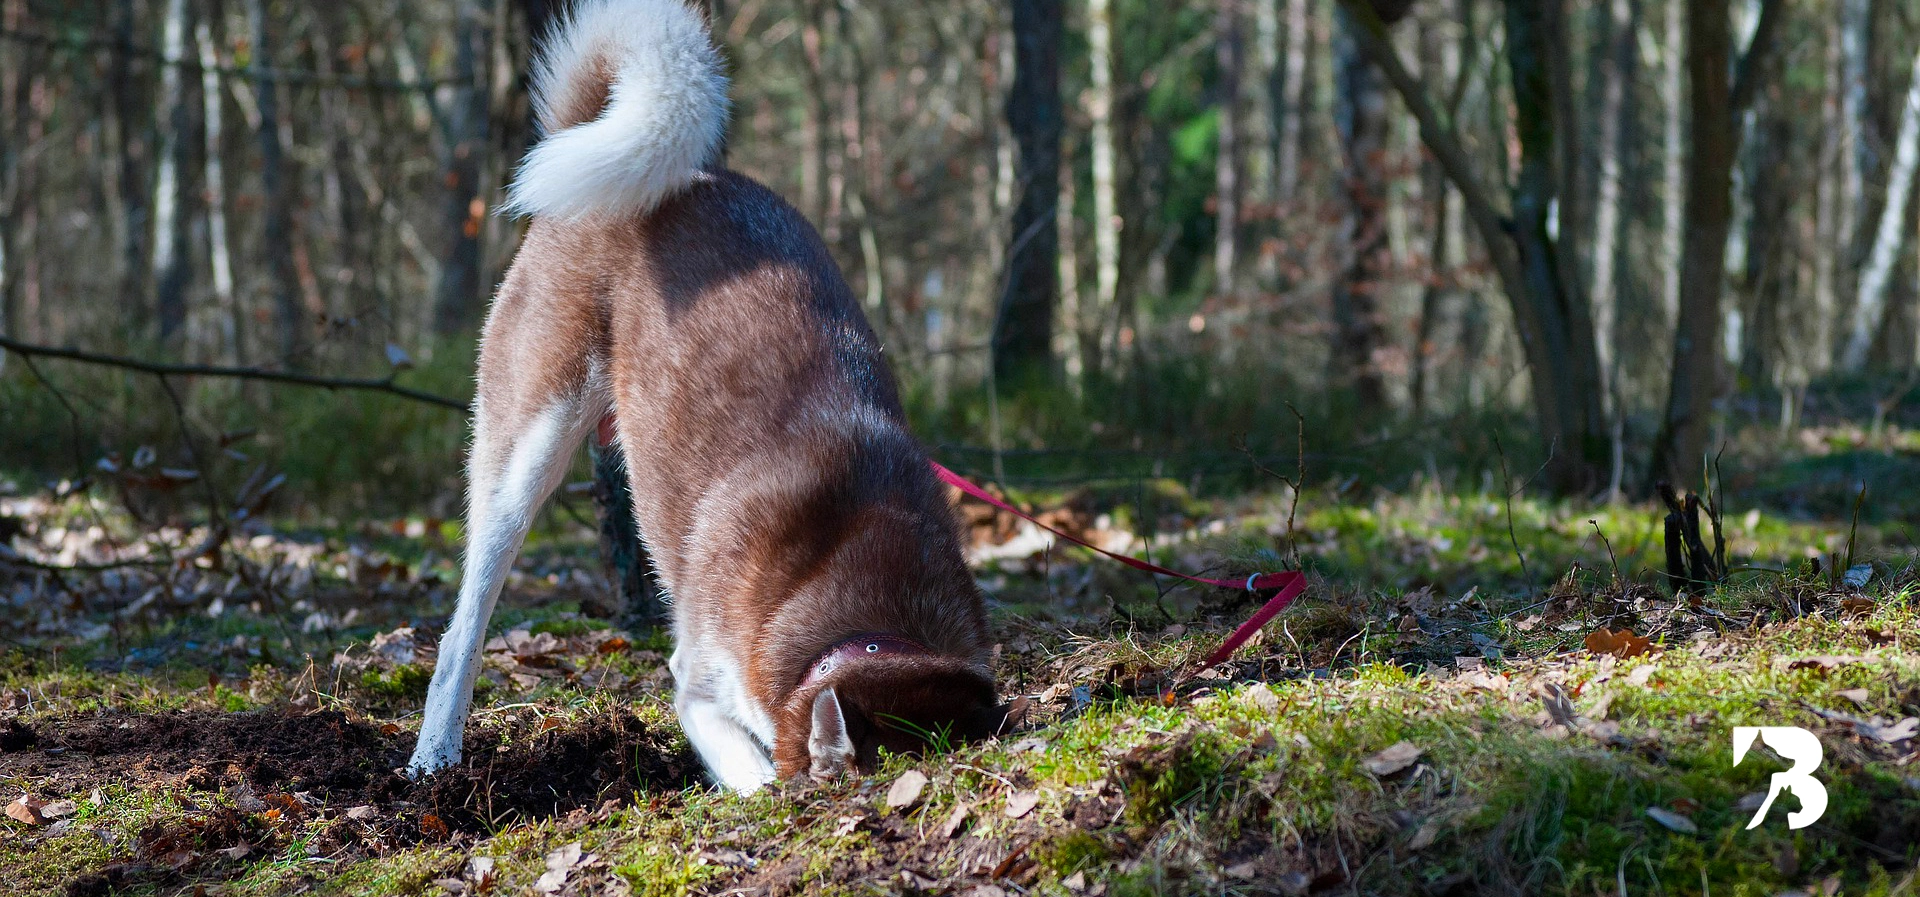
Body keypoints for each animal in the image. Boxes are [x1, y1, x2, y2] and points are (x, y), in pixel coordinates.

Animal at [405, 0, 1006, 795]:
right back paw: (433, 760)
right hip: (523, 455)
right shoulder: (700, 681)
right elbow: (754, 770)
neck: (870, 615)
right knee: (460, 633)